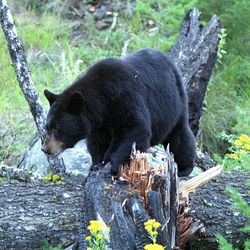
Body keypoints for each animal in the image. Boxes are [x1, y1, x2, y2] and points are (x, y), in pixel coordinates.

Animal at [42, 48, 196, 176]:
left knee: (179, 136)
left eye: (57, 128)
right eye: (46, 127)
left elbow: (132, 129)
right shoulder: (97, 126)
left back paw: (184, 167)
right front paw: (96, 164)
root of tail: (169, 62)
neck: (101, 104)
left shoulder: (123, 97)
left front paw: (111, 164)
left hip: (174, 103)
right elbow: (96, 143)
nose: (45, 148)